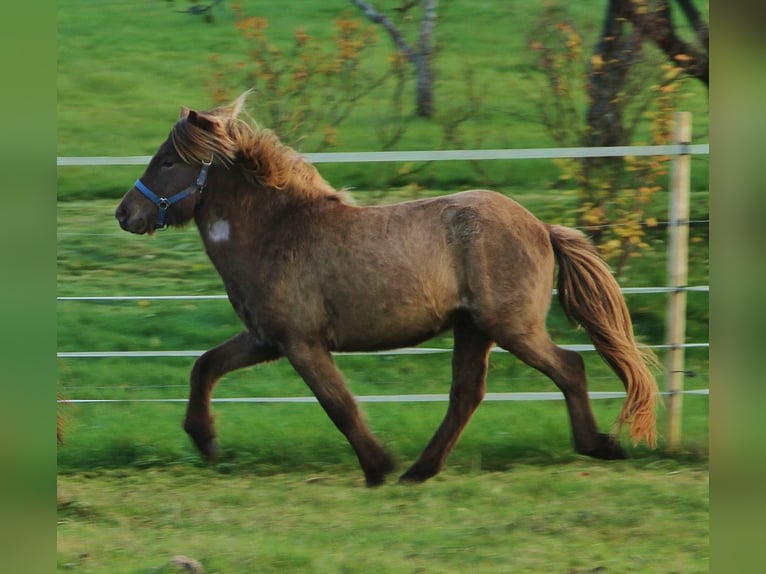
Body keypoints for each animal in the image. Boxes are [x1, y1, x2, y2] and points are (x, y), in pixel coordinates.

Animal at [115, 93, 660, 486]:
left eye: (167, 162)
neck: (277, 233)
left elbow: (339, 405)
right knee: (467, 394)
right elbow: (205, 366)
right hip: (473, 329)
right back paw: (420, 472)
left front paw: (377, 467)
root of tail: (543, 228)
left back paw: (598, 445)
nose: (125, 213)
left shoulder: (301, 344)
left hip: (511, 327)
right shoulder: (265, 340)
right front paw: (205, 441)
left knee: (569, 367)